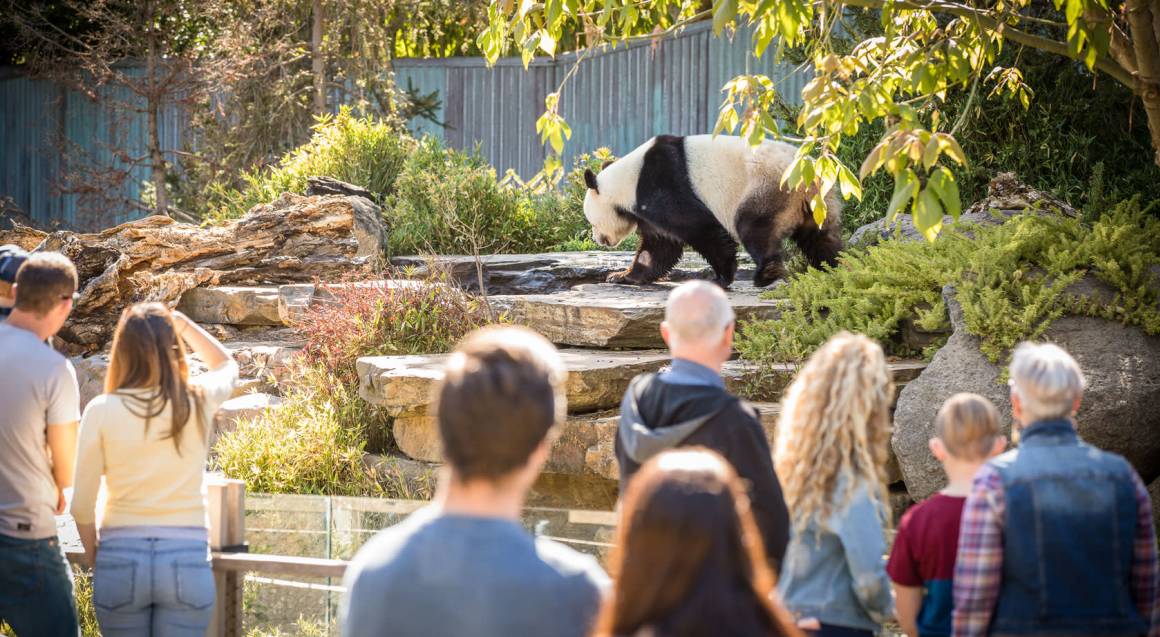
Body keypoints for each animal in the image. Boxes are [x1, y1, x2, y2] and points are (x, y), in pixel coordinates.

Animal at [583, 134, 843, 287]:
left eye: (593, 222)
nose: (598, 239)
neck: (626, 180)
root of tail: (808, 175)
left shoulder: (661, 185)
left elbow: (699, 228)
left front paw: (720, 277)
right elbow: (659, 246)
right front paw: (622, 276)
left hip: (767, 188)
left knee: (754, 229)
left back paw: (766, 275)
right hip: (818, 201)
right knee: (819, 237)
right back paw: (834, 267)